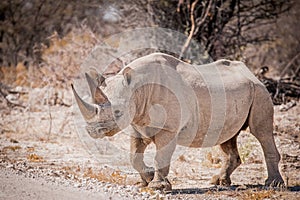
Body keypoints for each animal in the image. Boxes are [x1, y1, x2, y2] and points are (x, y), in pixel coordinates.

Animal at [71, 52, 284, 191]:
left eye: (117, 112)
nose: (92, 131)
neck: (138, 89)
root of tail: (251, 73)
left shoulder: (169, 129)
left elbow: (161, 157)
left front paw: (157, 187)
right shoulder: (137, 125)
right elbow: (133, 157)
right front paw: (145, 180)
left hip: (260, 92)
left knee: (261, 132)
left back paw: (273, 185)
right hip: (235, 94)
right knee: (227, 137)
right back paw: (218, 182)